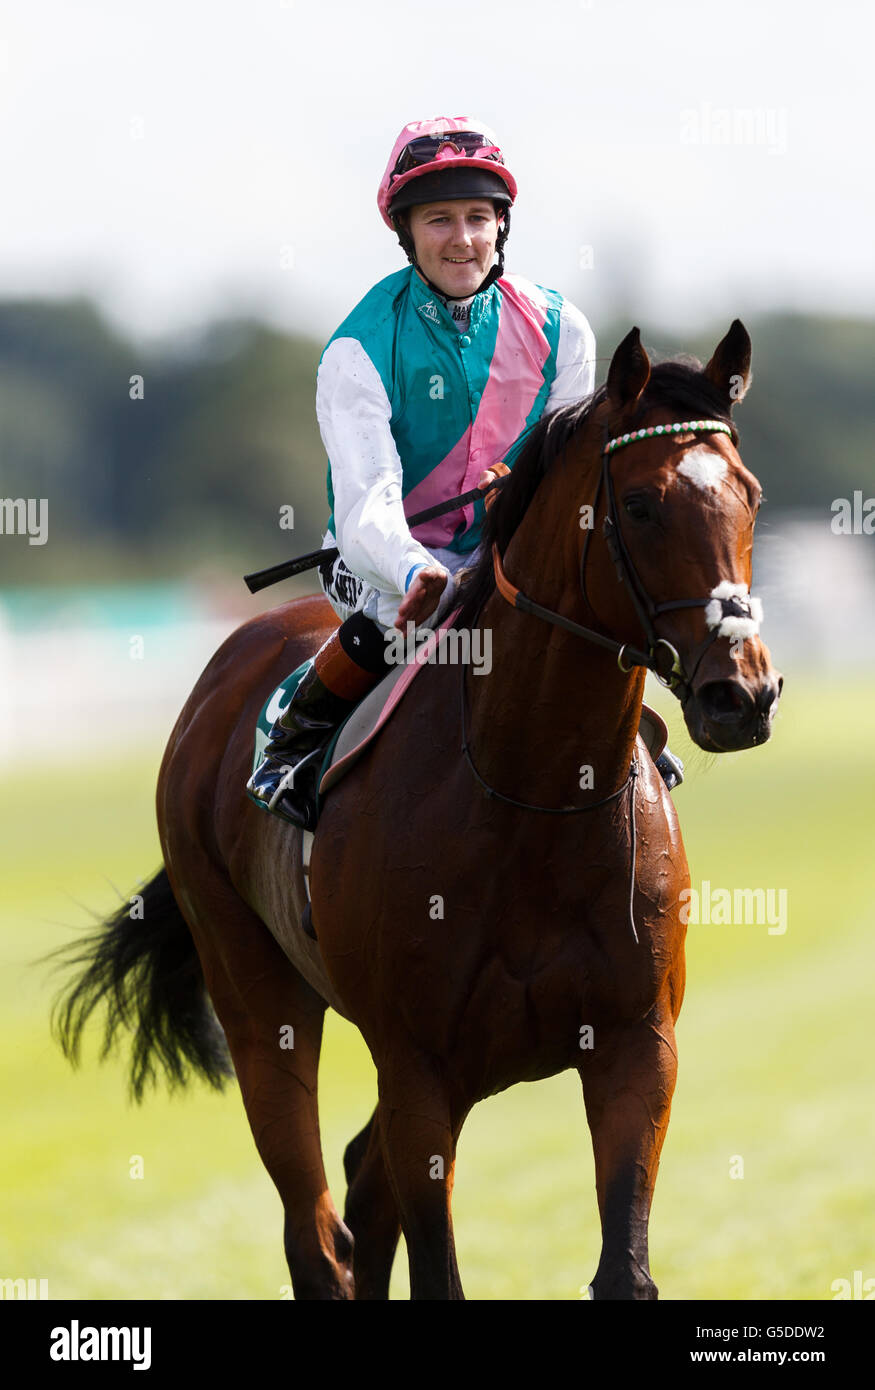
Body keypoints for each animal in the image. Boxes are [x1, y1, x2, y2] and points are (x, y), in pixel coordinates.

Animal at [52, 319, 779, 1295]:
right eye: (638, 505)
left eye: (749, 495)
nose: (742, 694)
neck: (531, 798)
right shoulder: (416, 1065)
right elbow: (434, 1268)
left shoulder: (635, 1045)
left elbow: (620, 1267)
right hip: (257, 1000)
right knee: (315, 1228)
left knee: (361, 1191)